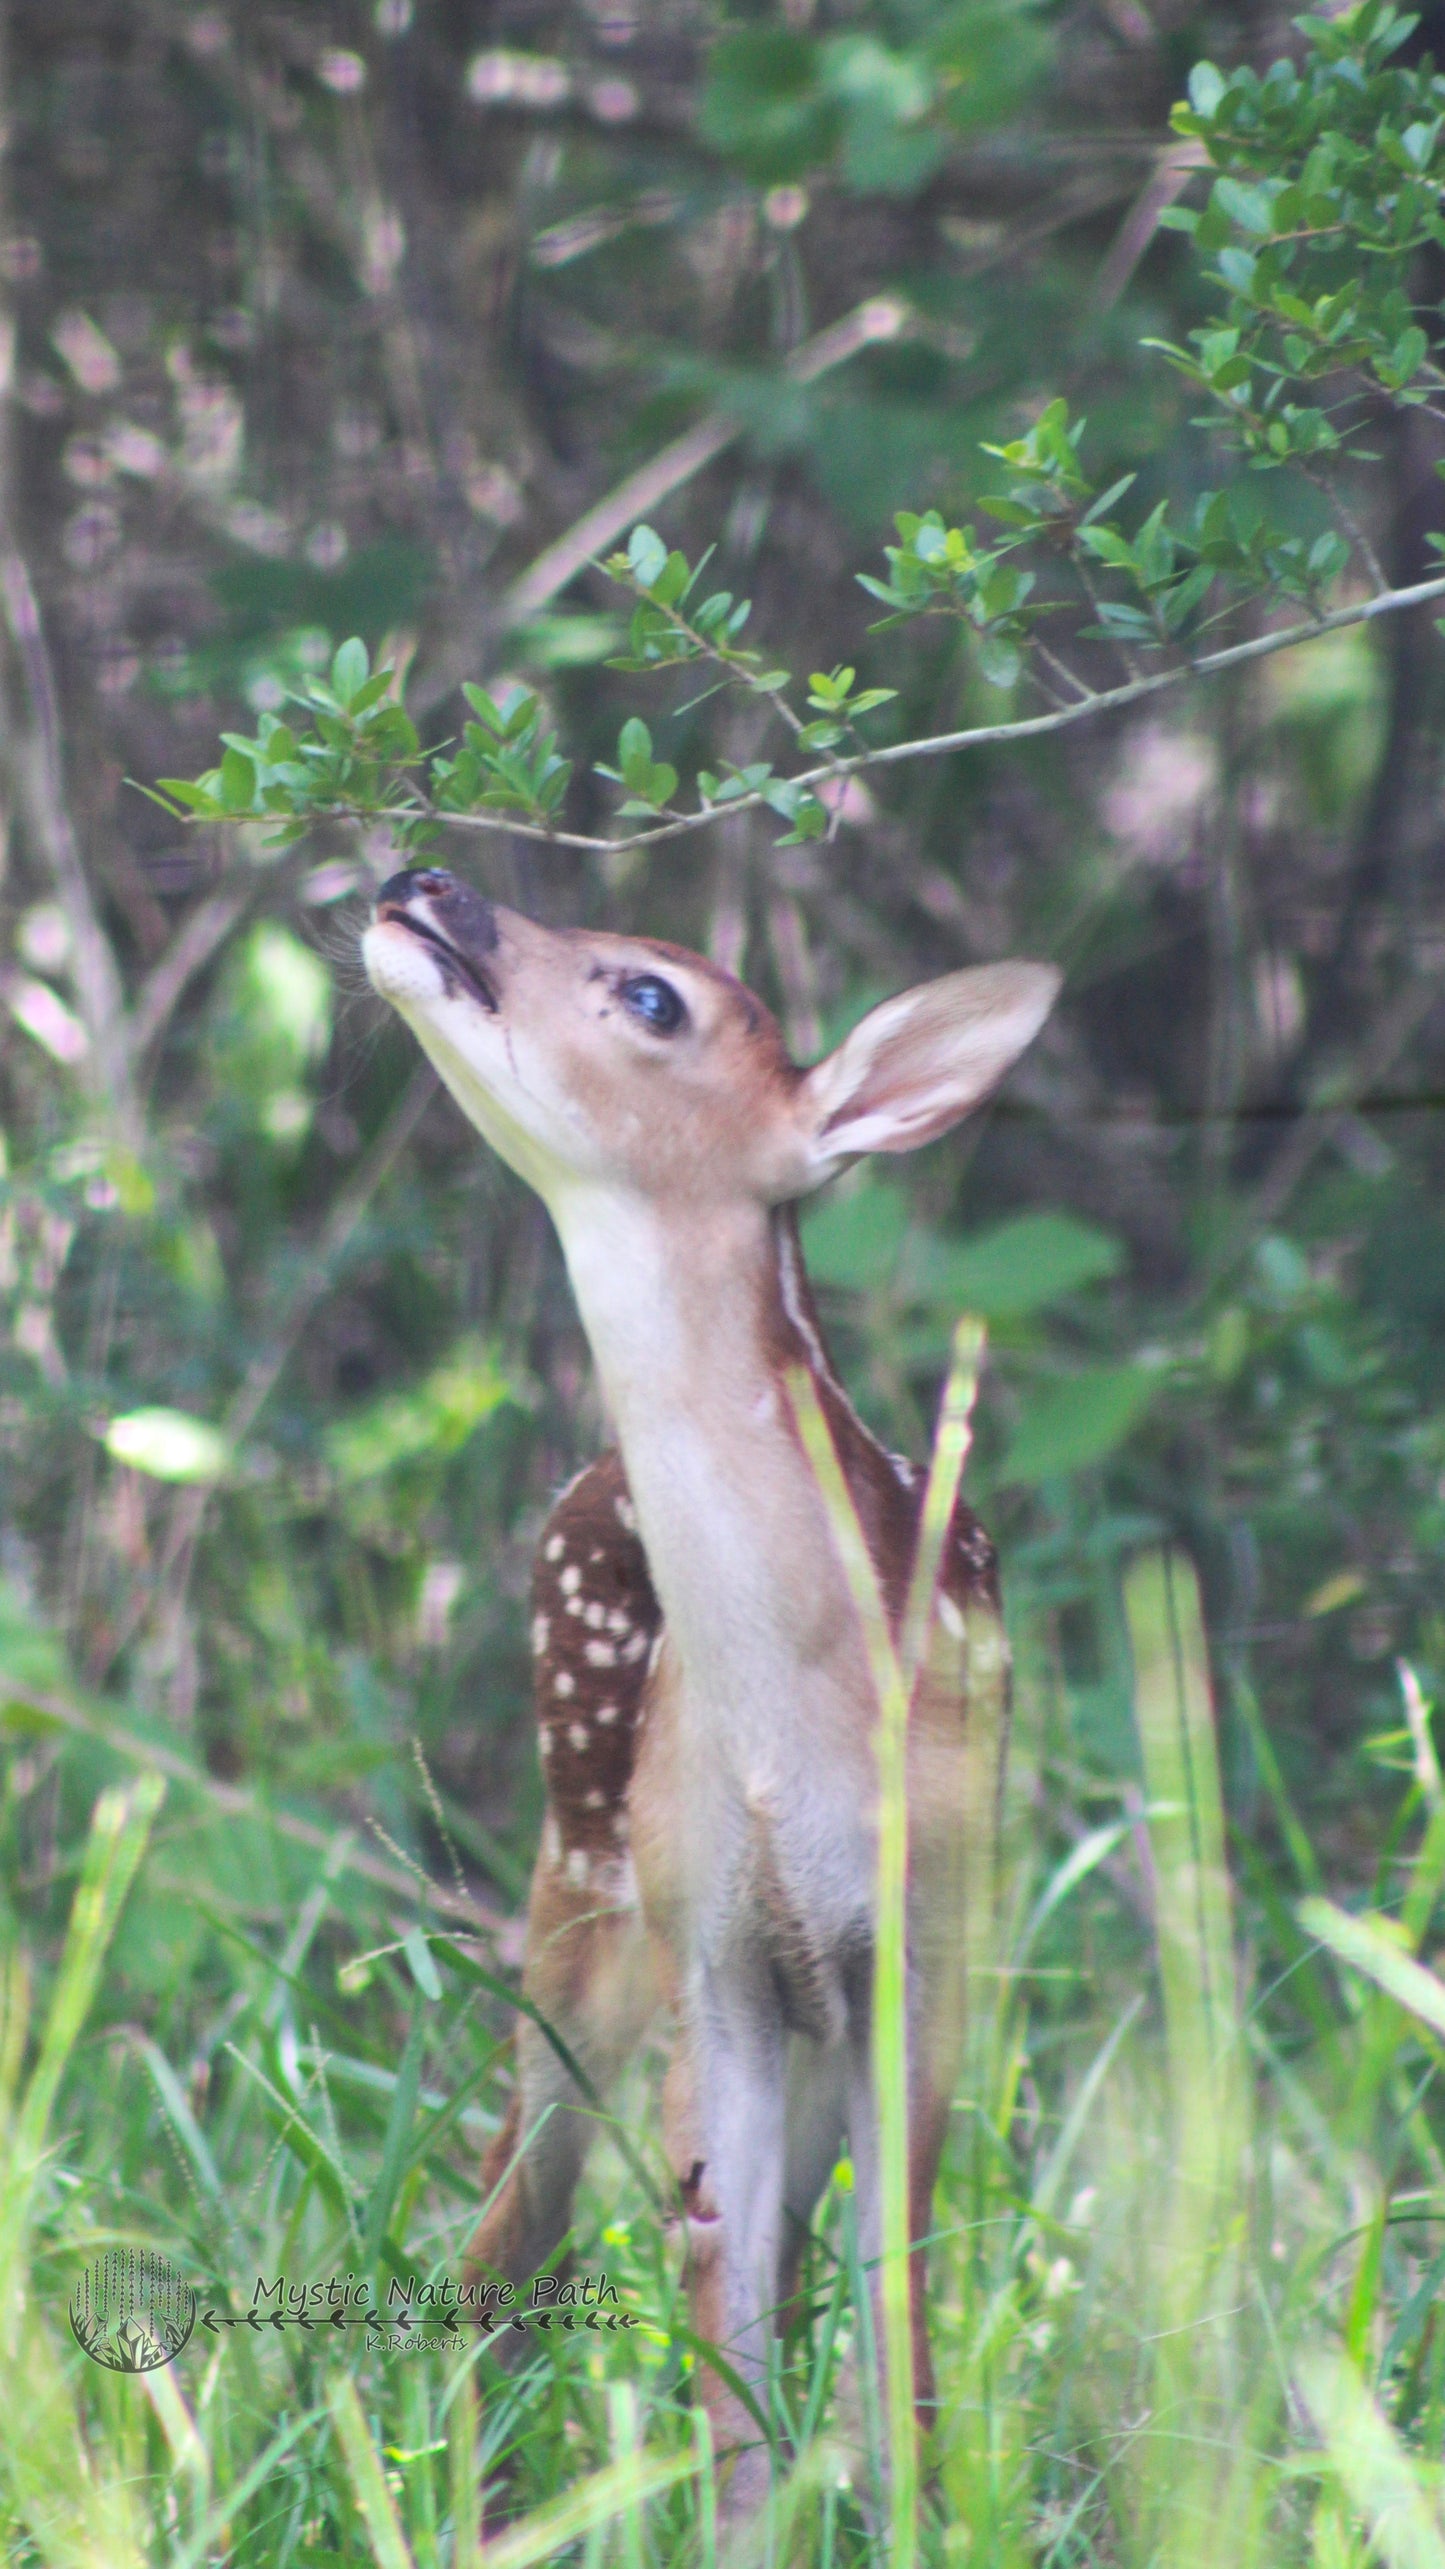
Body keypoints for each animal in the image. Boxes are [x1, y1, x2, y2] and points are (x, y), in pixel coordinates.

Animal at [362, 868, 1059, 2507]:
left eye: (652, 994)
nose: (426, 881)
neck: (793, 1723)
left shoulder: (925, 1928)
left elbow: (890, 2268)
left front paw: (909, 2506)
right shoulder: (714, 1948)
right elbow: (715, 2286)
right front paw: (752, 2517)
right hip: (580, 1874)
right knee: (513, 2212)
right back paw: (459, 2484)